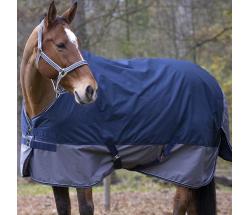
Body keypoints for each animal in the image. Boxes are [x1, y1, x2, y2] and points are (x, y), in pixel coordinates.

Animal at [19, 1, 230, 215]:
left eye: (77, 43)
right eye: (60, 44)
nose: (90, 89)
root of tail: (213, 85)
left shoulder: (83, 172)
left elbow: (85, 207)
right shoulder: (56, 174)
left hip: (188, 167)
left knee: (180, 203)